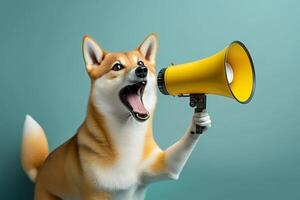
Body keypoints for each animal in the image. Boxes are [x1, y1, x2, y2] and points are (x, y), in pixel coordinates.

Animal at [20, 33, 211, 199]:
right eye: (117, 66)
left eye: (141, 62)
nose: (142, 70)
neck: (128, 136)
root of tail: (41, 171)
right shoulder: (95, 195)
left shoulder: (164, 165)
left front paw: (200, 121)